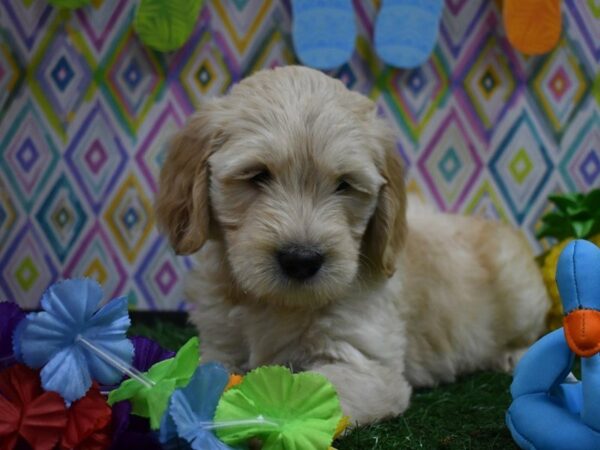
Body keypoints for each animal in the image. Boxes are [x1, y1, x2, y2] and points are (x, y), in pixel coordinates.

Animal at [155, 66, 548, 426]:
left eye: (344, 184)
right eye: (257, 176)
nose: (302, 259)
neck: (276, 305)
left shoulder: (366, 363)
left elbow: (308, 389)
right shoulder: (219, 343)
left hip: (521, 296)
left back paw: (513, 355)